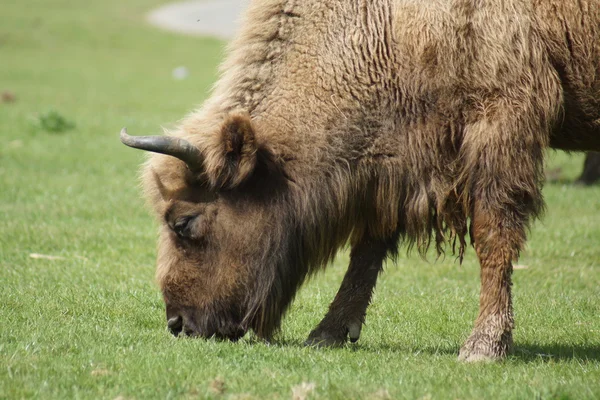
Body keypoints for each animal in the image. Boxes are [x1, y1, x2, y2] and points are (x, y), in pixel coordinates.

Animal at [120, 0, 600, 362]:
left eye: (184, 222)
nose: (178, 323)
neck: (386, 25)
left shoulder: (501, 124)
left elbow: (493, 236)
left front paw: (484, 346)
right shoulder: (402, 163)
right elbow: (370, 245)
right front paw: (327, 332)